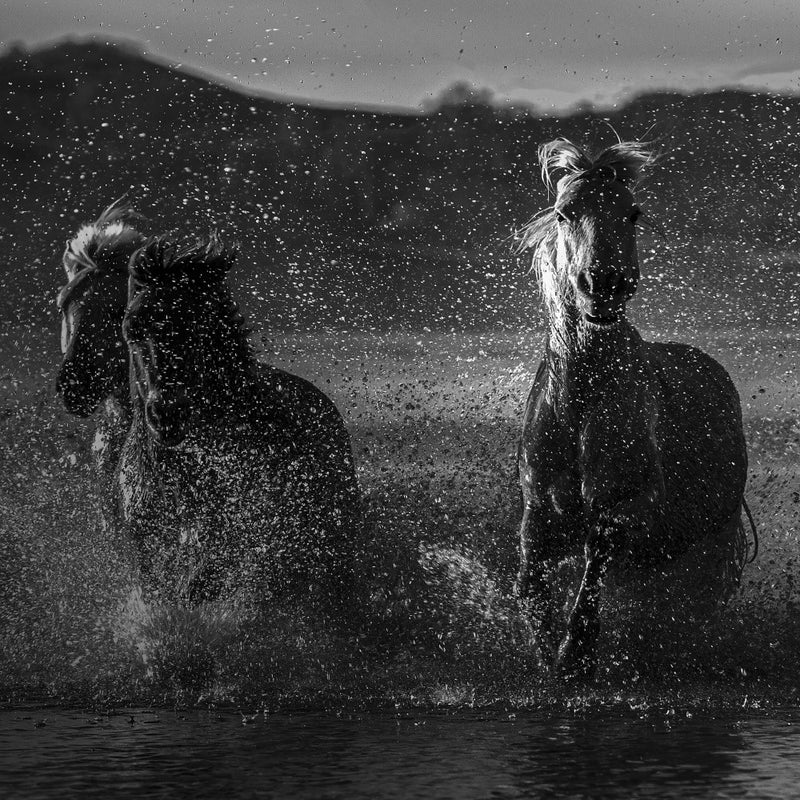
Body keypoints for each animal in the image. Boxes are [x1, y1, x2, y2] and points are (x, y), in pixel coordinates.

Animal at [513, 138, 752, 681]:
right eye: (565, 212)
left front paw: (575, 654)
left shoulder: (634, 508)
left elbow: (600, 548)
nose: (605, 283)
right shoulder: (538, 512)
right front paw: (548, 652)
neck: (580, 404)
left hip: (711, 540)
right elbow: (529, 583)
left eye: (633, 212)